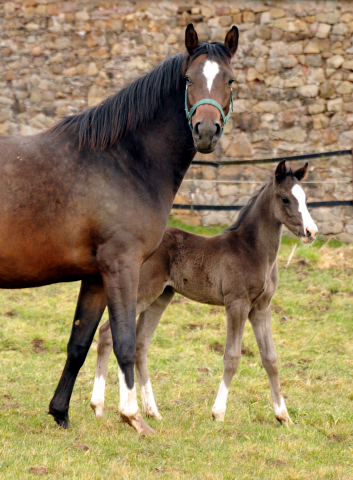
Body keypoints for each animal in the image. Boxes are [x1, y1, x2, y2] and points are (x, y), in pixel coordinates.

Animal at [0, 25, 239, 436]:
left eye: (230, 79)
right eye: (188, 80)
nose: (206, 131)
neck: (122, 161)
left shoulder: (96, 277)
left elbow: (79, 343)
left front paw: (60, 412)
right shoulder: (122, 266)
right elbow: (125, 341)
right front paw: (133, 416)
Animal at [90, 162, 316, 428]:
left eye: (305, 198)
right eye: (285, 199)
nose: (311, 231)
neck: (253, 251)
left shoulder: (261, 308)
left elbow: (271, 359)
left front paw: (283, 416)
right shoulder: (237, 304)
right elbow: (232, 356)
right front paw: (218, 413)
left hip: (160, 297)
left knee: (140, 344)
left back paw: (152, 411)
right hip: (142, 293)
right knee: (107, 333)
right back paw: (99, 407)